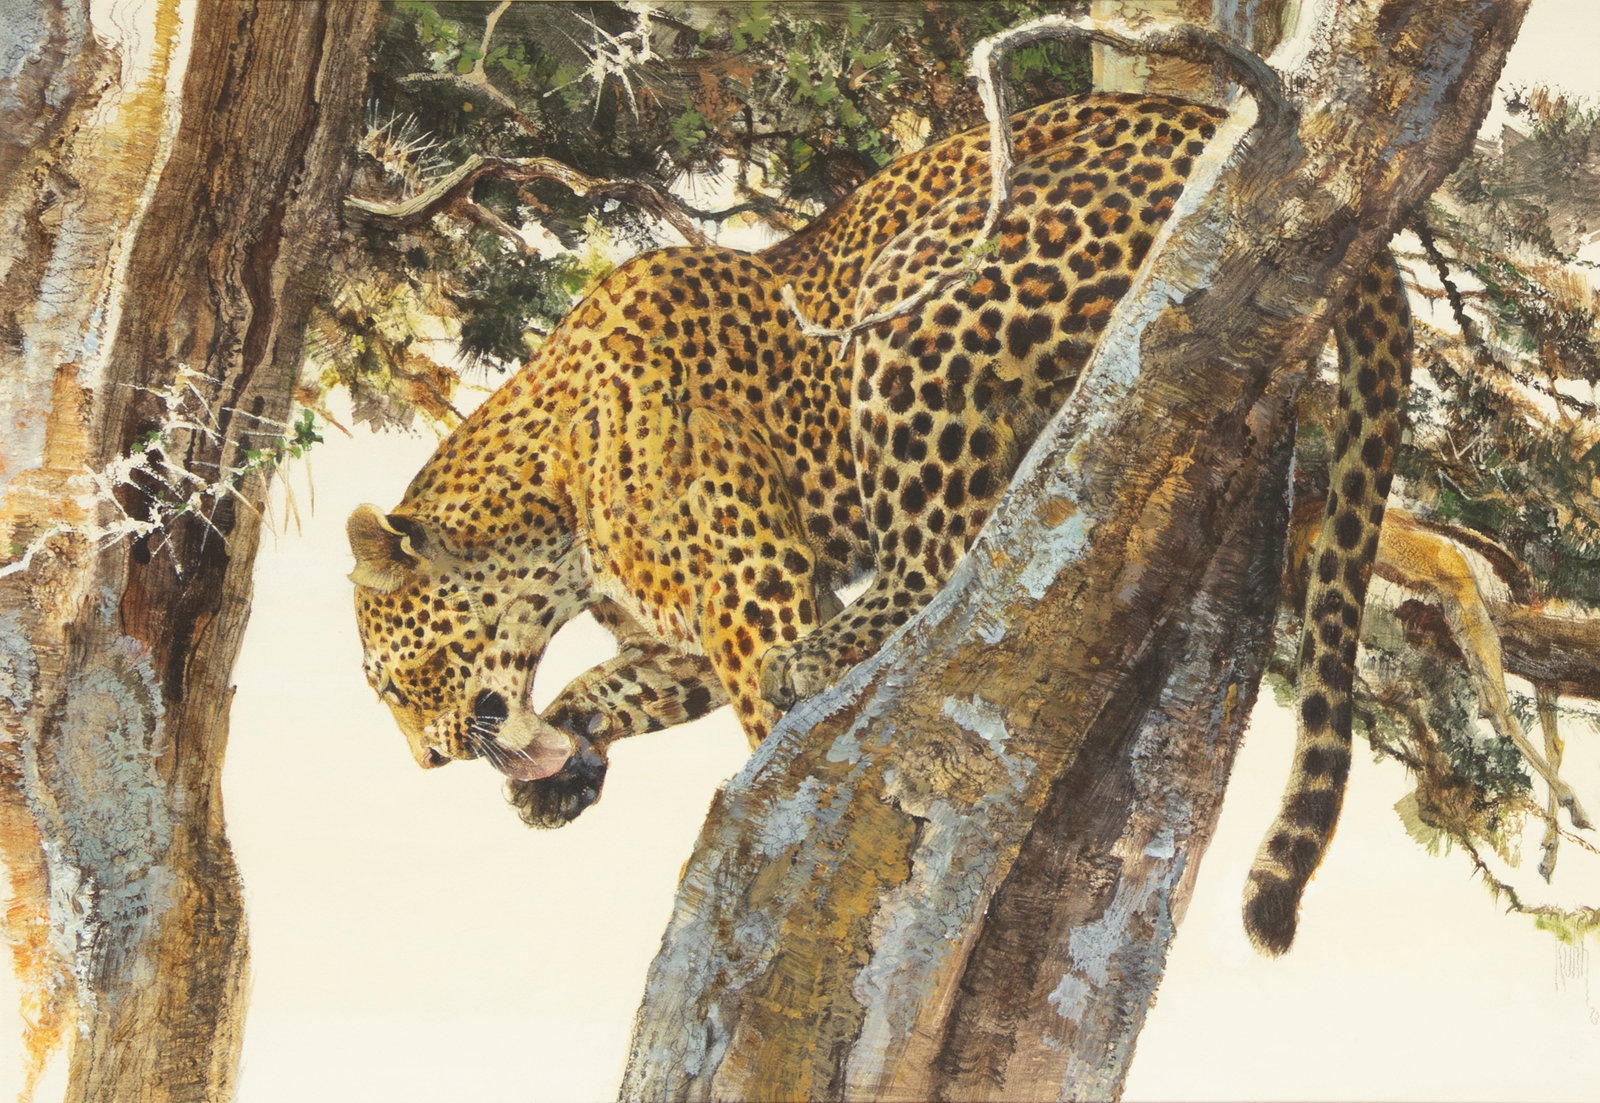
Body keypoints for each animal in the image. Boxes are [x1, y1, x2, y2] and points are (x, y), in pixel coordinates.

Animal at [348, 91, 1412, 954]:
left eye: (401, 679)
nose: (428, 759)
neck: (552, 516)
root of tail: (1197, 118)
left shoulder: (753, 580)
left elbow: (752, 704)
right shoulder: (678, 642)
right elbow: (603, 685)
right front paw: (558, 772)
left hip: (918, 304)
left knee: (940, 550)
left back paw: (821, 657)